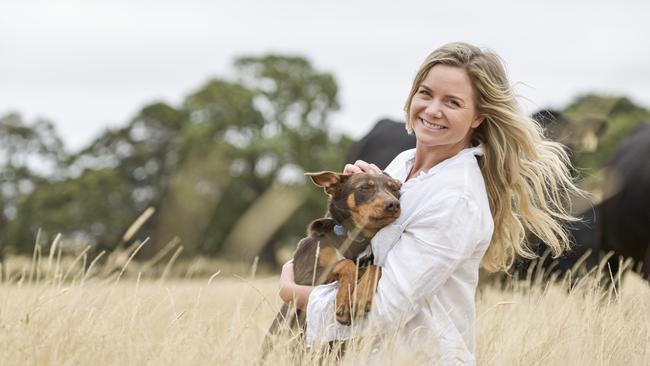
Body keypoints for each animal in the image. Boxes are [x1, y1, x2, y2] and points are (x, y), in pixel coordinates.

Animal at [262, 172, 400, 358]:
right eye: (365, 187)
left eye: (394, 189)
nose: (394, 204)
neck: (354, 238)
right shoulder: (305, 276)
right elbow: (345, 263)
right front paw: (343, 305)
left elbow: (374, 267)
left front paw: (361, 296)